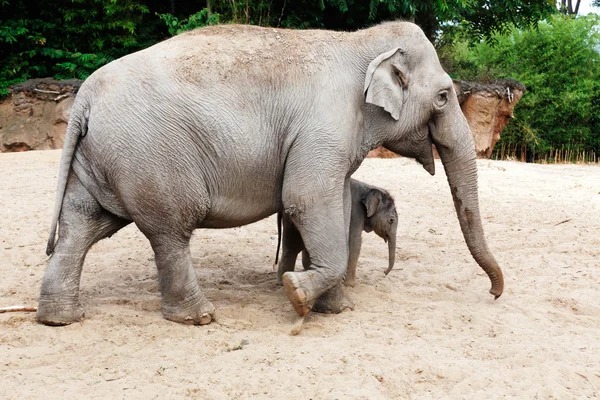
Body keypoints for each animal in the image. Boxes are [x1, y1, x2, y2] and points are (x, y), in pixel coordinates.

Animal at [37, 21, 504, 326]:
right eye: (444, 96)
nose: (494, 294)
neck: (361, 42)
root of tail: (85, 95)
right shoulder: (323, 127)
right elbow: (306, 199)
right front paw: (297, 295)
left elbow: (332, 204)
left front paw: (336, 309)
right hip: (152, 156)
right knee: (169, 231)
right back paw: (199, 317)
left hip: (100, 158)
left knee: (83, 226)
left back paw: (60, 319)